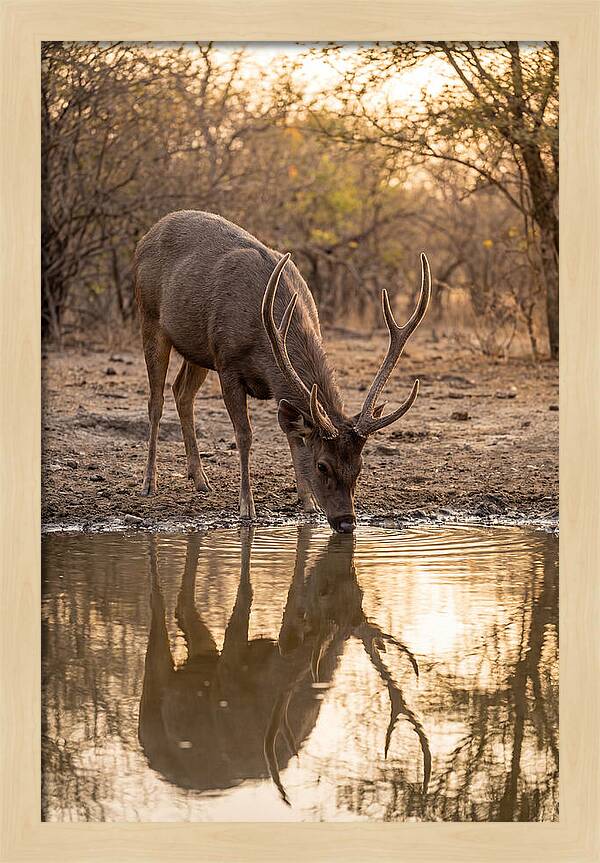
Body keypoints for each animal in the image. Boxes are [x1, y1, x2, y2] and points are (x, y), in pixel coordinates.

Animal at [134, 211, 431, 533]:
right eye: (322, 465)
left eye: (360, 466)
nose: (347, 522)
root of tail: (147, 235)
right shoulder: (227, 363)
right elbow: (245, 434)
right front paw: (247, 507)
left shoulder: (267, 380)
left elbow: (293, 435)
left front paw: (307, 502)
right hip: (150, 318)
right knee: (156, 401)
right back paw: (149, 483)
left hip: (197, 348)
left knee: (182, 392)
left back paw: (200, 480)